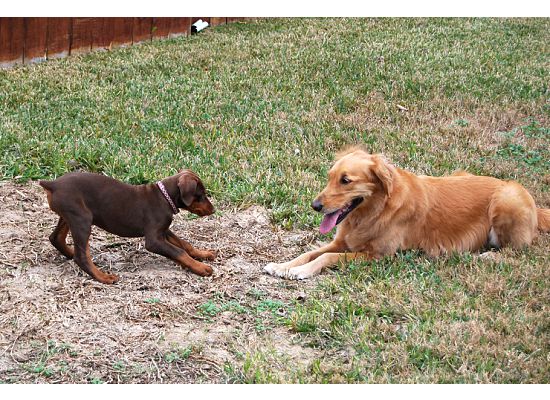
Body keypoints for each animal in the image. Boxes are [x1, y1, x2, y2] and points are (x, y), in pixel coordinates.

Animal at [40, 170, 217, 284]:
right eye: (201, 195)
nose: (213, 210)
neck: (165, 197)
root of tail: (53, 184)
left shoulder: (163, 231)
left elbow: (185, 244)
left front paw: (203, 254)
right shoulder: (153, 240)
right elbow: (179, 251)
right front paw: (201, 268)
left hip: (69, 216)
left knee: (56, 238)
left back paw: (71, 253)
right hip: (82, 219)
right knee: (81, 256)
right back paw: (103, 277)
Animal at [266, 145, 548, 280]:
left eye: (346, 181)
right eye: (329, 177)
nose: (315, 206)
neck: (373, 212)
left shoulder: (378, 256)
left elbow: (326, 258)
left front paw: (300, 272)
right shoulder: (342, 242)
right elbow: (310, 252)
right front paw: (284, 266)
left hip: (507, 199)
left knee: (516, 252)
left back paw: (485, 257)